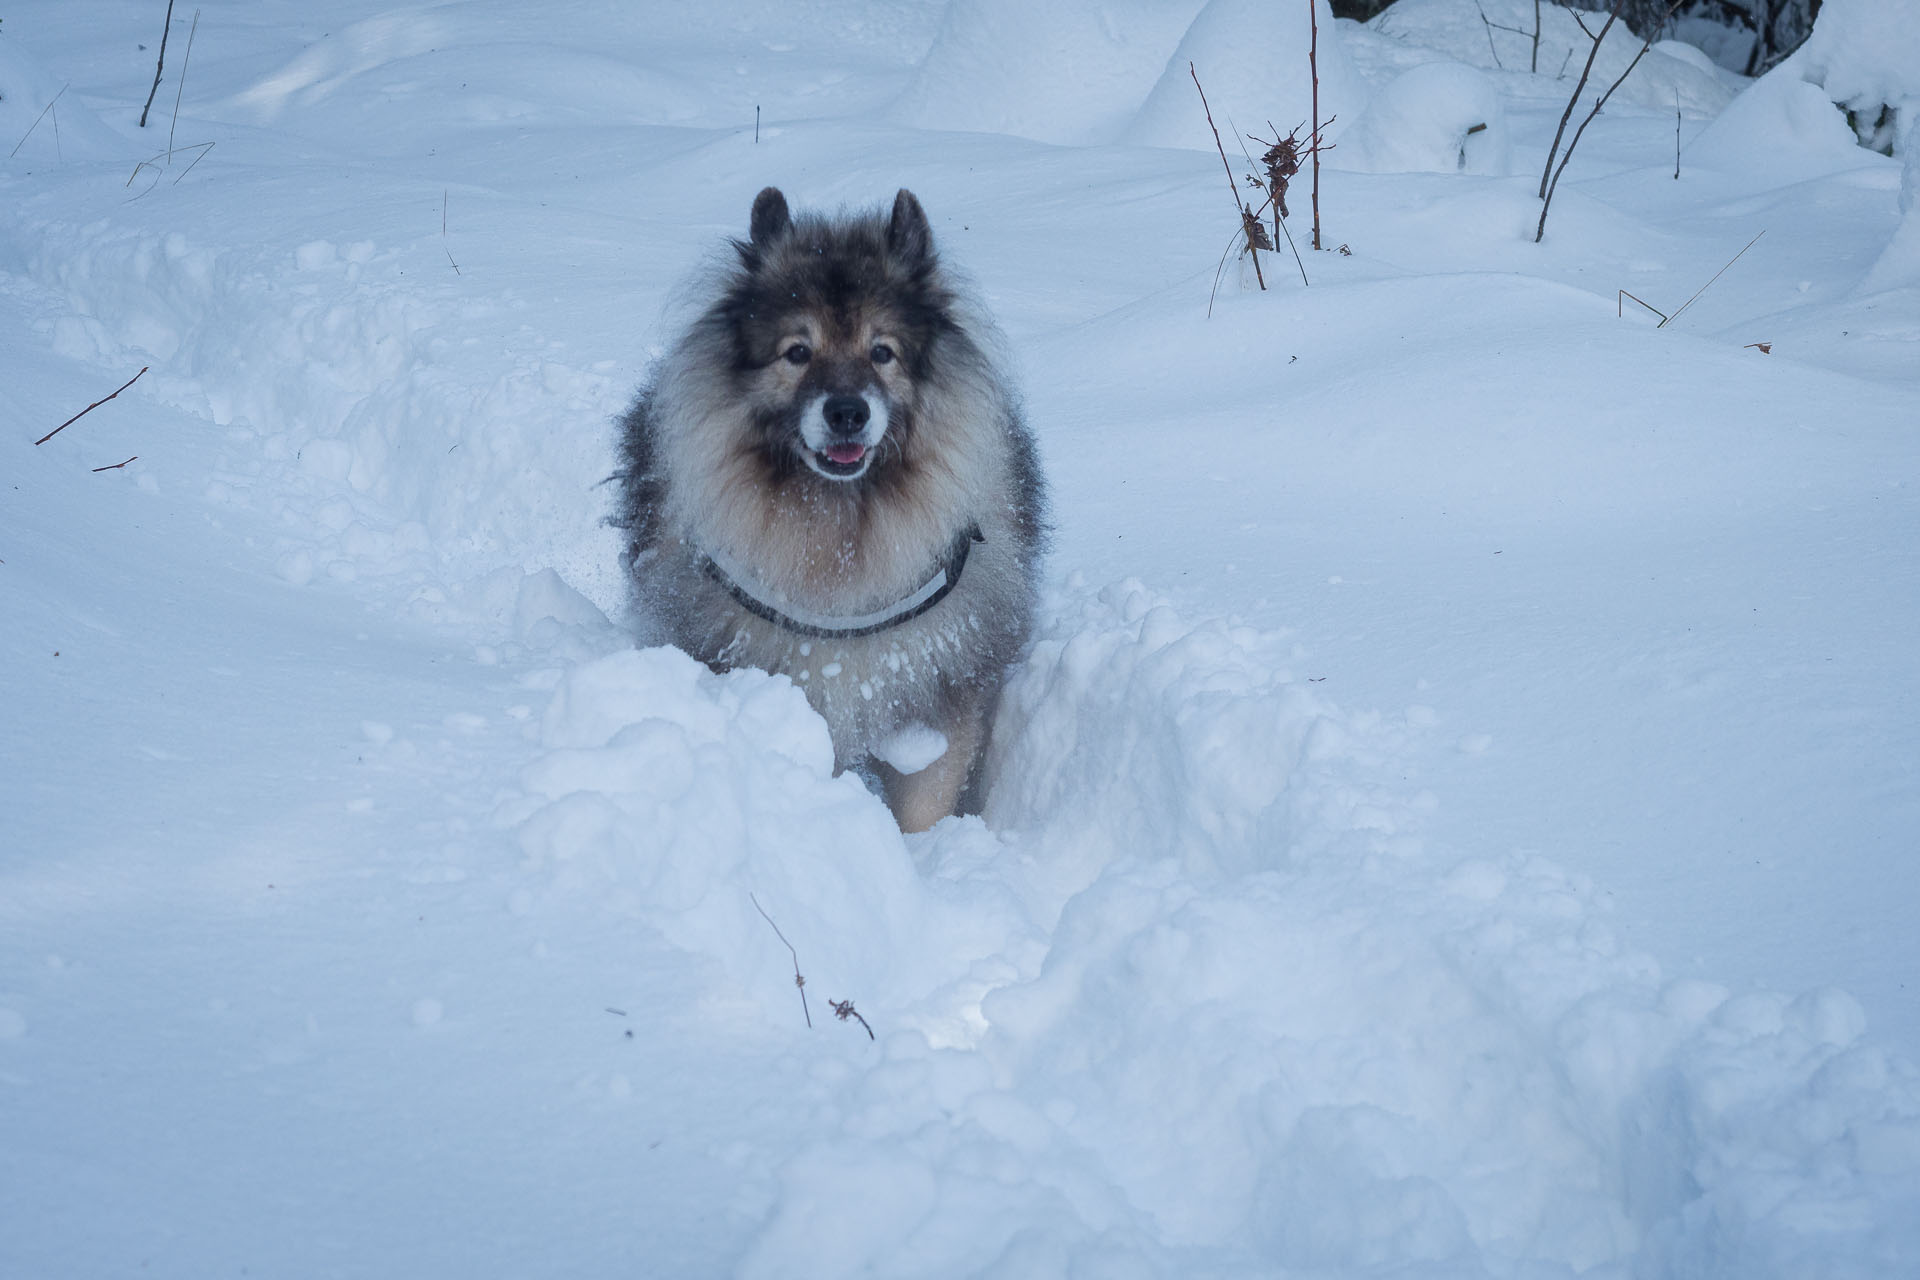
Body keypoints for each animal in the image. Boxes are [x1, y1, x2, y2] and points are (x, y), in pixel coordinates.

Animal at [618, 188, 1052, 832]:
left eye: (882, 352)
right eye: (797, 352)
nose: (847, 411)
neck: (839, 531)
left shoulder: (936, 699)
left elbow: (924, 803)